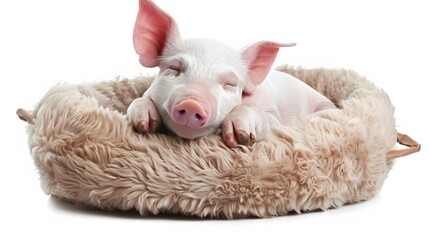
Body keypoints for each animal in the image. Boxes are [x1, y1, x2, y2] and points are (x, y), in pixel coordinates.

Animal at [127, 0, 334, 147]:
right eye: (175, 68)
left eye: (230, 84)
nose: (192, 102)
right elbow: (138, 101)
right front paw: (145, 124)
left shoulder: (273, 115)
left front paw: (241, 138)